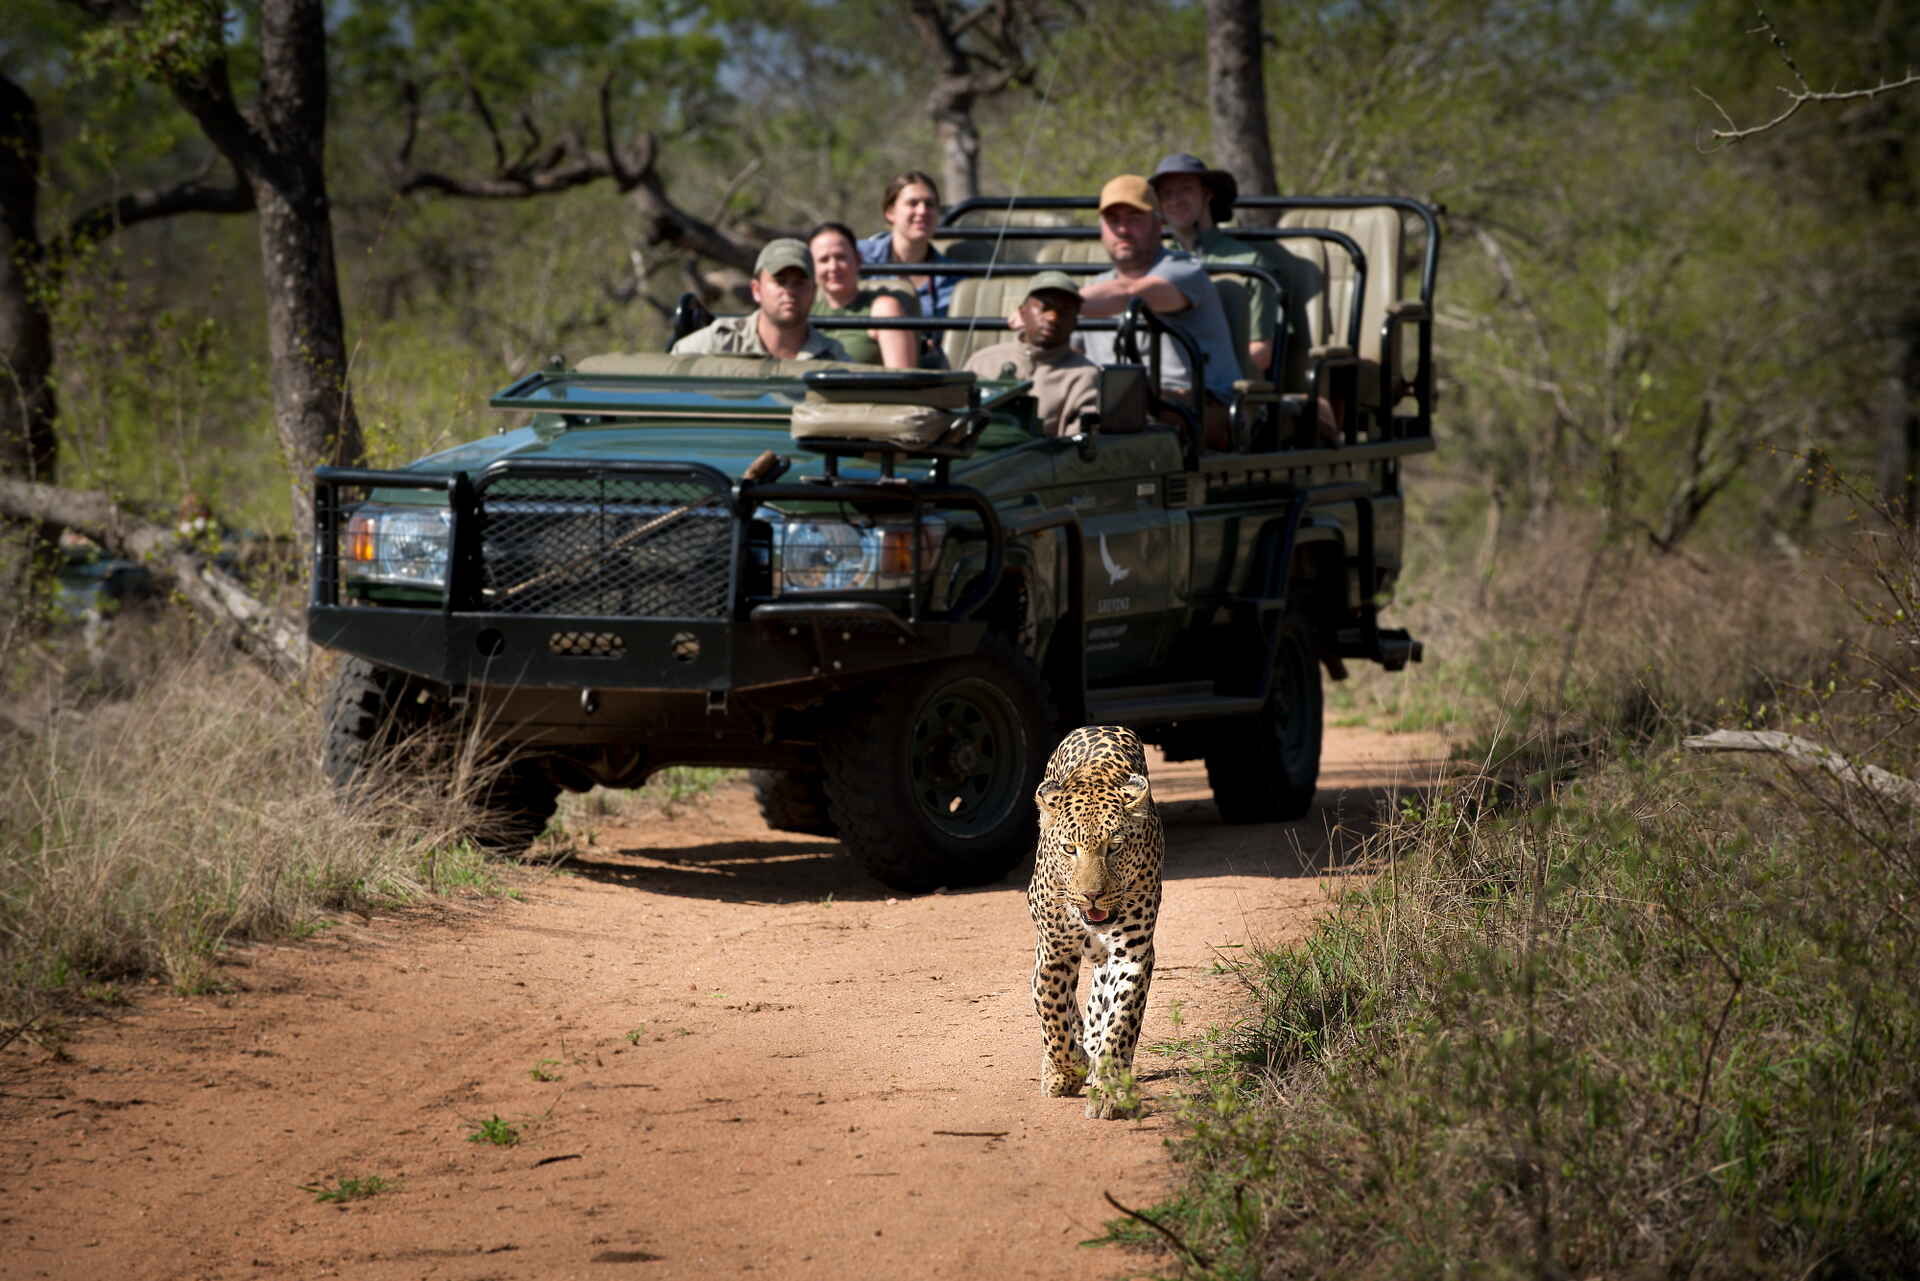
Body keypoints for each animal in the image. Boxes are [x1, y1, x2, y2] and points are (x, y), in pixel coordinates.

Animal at [1026, 724, 1163, 1119]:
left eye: (1113, 847)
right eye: (1069, 849)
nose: (1091, 895)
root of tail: (1096, 725)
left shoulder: (1132, 954)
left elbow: (1120, 1021)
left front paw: (1109, 1090)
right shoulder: (1053, 952)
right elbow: (1052, 1014)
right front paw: (1065, 1071)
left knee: (1099, 1003)